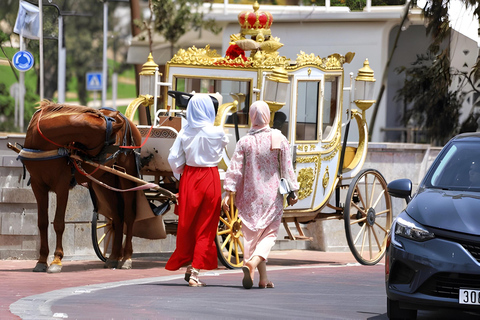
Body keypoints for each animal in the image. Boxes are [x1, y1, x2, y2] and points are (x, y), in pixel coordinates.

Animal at [21, 102, 142, 272]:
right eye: (113, 143)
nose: (119, 151)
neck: (43, 144)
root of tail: (129, 122)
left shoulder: (62, 185)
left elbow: (58, 223)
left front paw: (56, 260)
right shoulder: (38, 186)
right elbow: (42, 223)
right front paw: (42, 260)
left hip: (128, 175)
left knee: (129, 215)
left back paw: (126, 258)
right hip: (105, 179)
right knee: (118, 216)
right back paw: (113, 257)